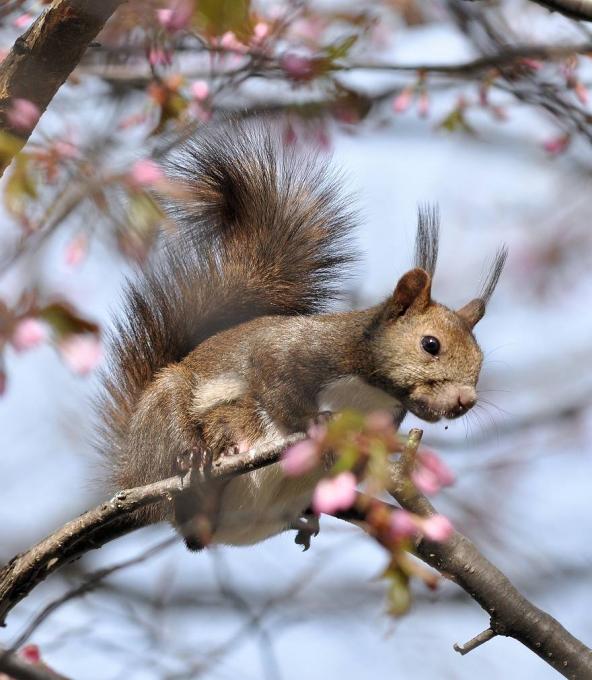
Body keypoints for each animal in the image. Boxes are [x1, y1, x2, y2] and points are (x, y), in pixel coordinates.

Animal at [96, 119, 504, 548]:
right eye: (430, 344)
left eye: (480, 359)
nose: (466, 401)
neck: (369, 390)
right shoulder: (292, 350)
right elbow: (277, 386)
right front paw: (315, 424)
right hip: (168, 415)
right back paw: (197, 459)